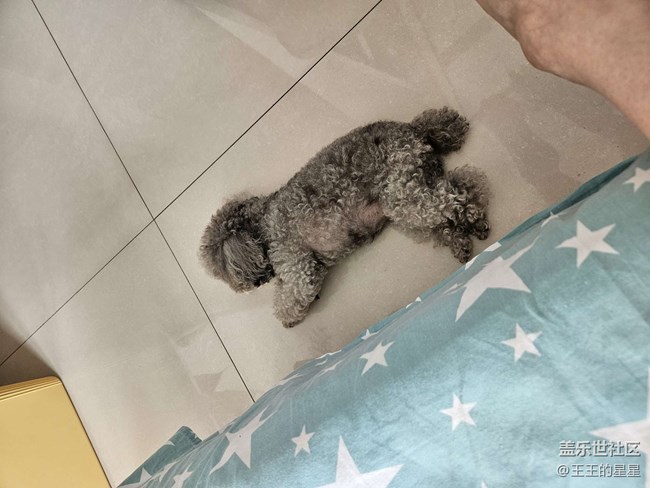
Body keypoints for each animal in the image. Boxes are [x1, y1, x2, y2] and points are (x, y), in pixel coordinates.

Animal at [200, 108, 490, 328]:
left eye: (221, 272)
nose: (241, 288)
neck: (263, 224)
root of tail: (414, 128)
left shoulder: (299, 268)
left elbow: (291, 295)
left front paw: (286, 318)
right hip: (407, 204)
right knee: (459, 190)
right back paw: (463, 240)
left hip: (404, 196)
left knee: (457, 194)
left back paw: (474, 217)